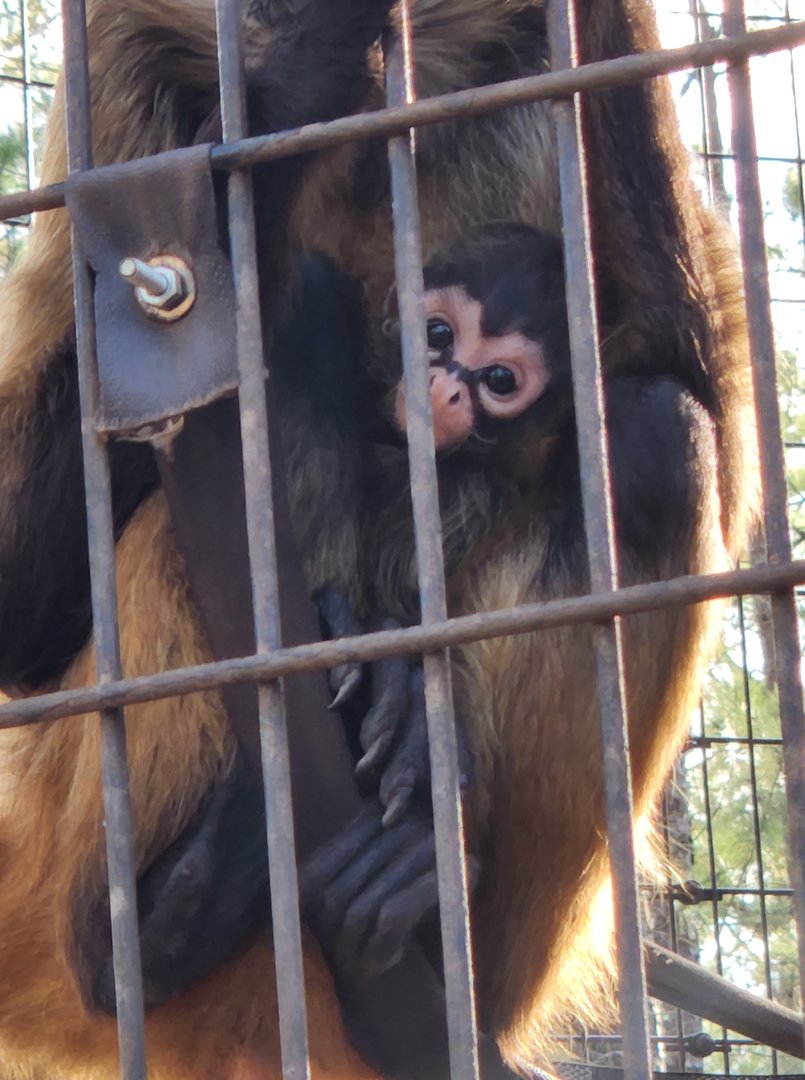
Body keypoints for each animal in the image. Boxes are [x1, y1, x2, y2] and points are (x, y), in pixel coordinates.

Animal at [0, 0, 757, 1075]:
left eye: (492, 373)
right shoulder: (116, 56)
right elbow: (19, 621)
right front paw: (298, 90)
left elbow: (706, 424)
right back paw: (159, 925)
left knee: (657, 442)